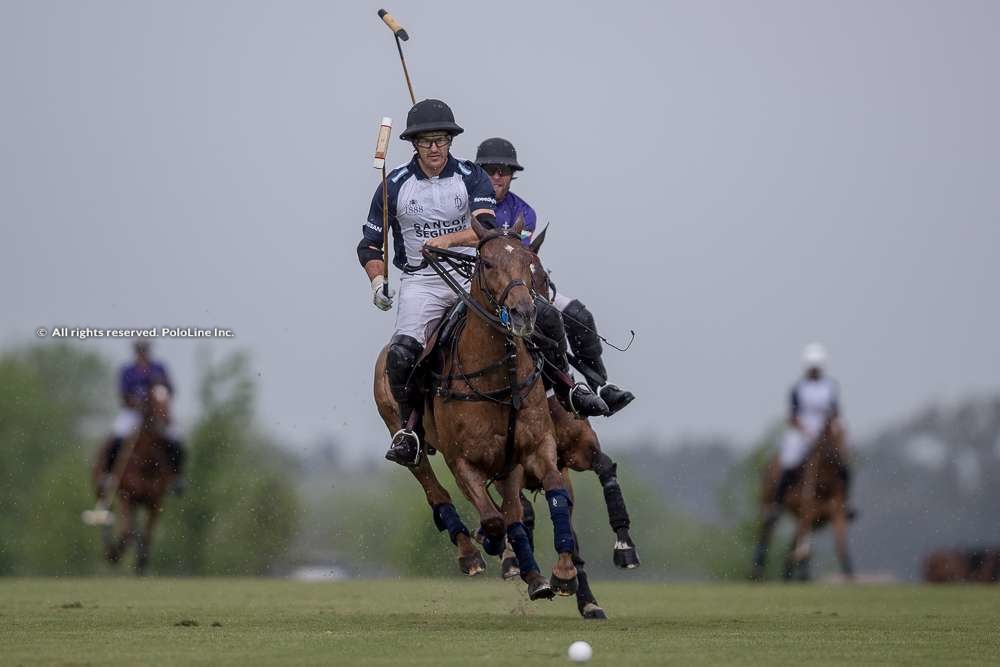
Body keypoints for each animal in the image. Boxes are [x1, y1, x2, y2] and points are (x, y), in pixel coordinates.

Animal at [90, 384, 174, 576]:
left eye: (168, 398)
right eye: (152, 401)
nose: (166, 422)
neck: (146, 462)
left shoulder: (155, 500)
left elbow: (147, 534)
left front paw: (141, 562)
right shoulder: (126, 495)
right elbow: (128, 532)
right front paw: (116, 554)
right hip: (103, 490)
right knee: (104, 515)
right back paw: (110, 550)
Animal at [376, 218, 580, 600]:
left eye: (530, 263)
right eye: (486, 263)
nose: (524, 313)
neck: (497, 371)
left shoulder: (536, 446)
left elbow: (555, 492)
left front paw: (563, 573)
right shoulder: (461, 461)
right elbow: (493, 518)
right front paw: (489, 540)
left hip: (507, 462)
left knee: (514, 509)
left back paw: (532, 574)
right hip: (402, 429)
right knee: (435, 489)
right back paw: (472, 553)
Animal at [752, 420, 852, 580]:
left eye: (846, 434)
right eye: (832, 435)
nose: (841, 461)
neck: (824, 484)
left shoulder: (836, 512)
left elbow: (841, 547)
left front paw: (850, 577)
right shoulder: (807, 511)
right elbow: (806, 549)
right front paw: (804, 575)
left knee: (794, 544)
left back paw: (787, 574)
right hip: (769, 503)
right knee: (767, 532)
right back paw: (758, 571)